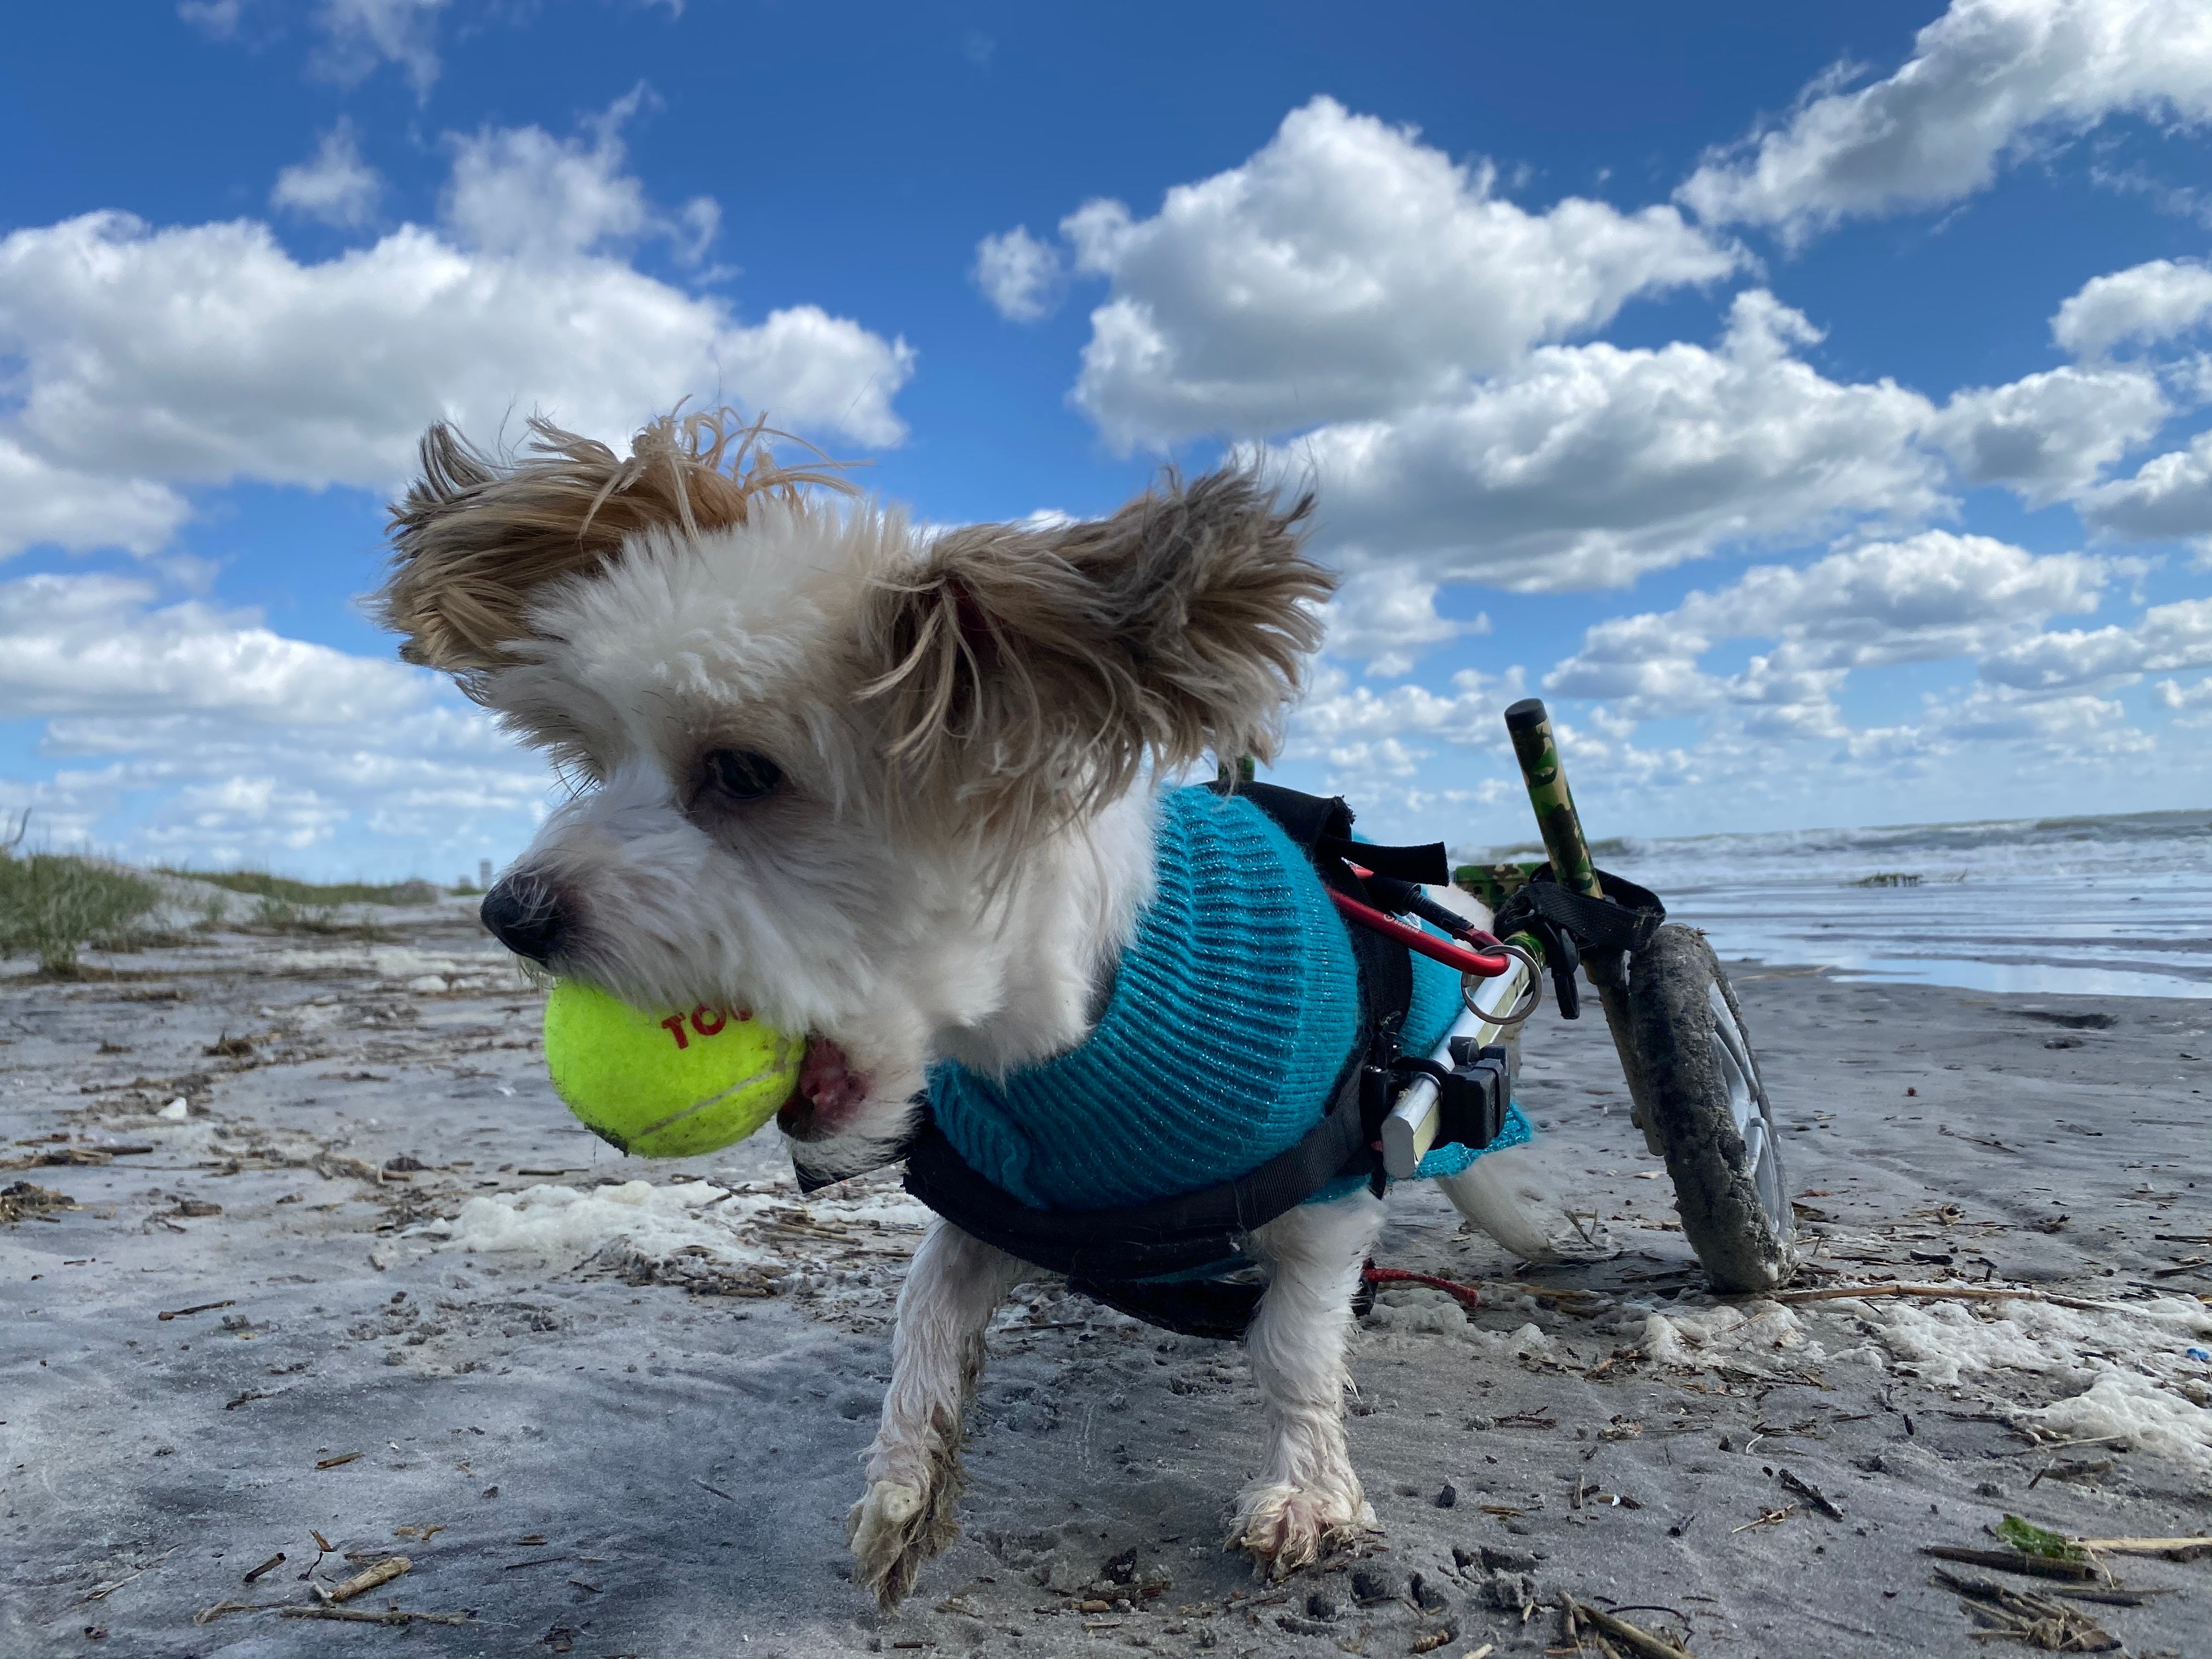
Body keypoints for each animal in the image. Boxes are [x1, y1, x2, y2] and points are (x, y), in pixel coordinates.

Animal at [376, 413, 1557, 1610]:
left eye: (744, 772)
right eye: (598, 757)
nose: (509, 913)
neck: (1063, 1048)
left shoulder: (1325, 1204)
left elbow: (1295, 1344)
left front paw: (1307, 1489)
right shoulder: (992, 1204)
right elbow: (925, 1311)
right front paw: (906, 1481)